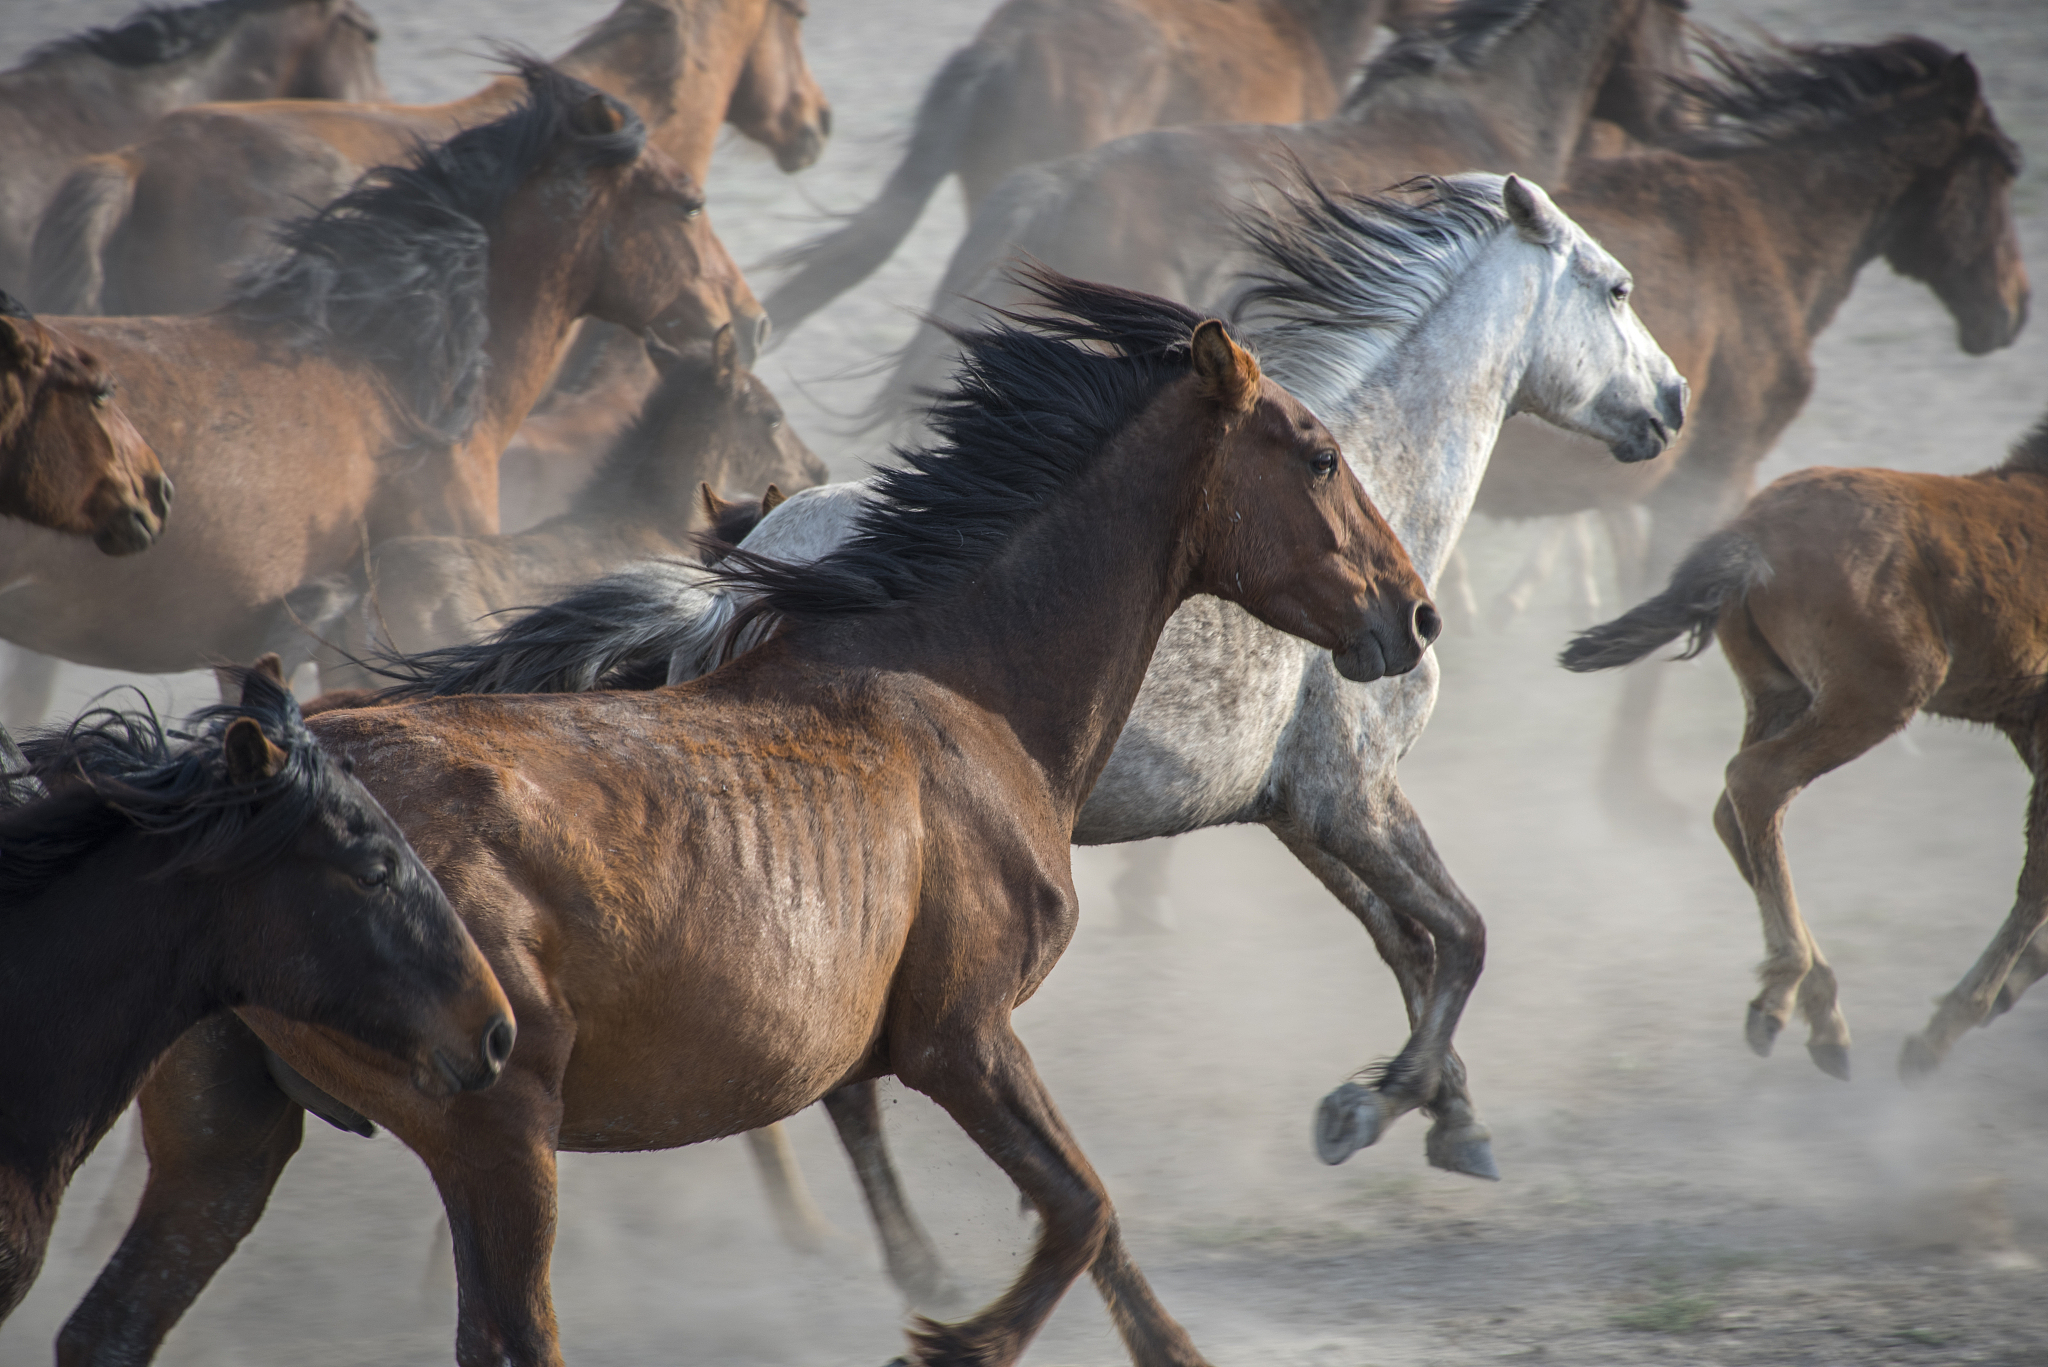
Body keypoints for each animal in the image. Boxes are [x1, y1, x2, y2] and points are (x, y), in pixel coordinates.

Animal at [1560, 408, 2048, 1083]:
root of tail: (1752, 529)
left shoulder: (2026, 720)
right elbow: (2039, 872)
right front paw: (1948, 1026)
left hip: (1781, 693)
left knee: (1733, 808)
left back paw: (1820, 1015)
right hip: (1875, 696)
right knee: (1758, 782)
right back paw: (1784, 999)